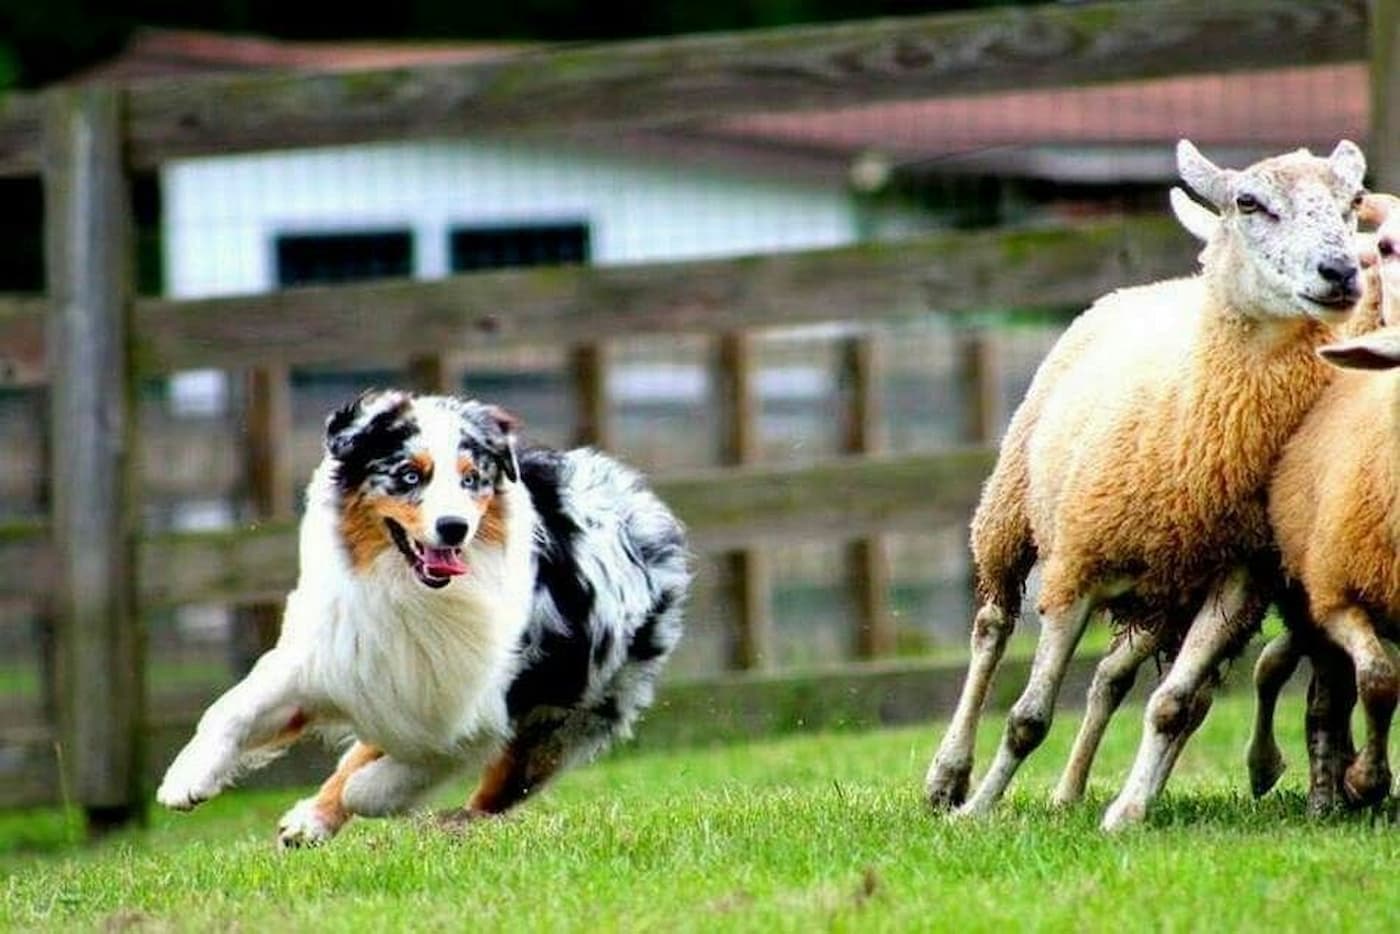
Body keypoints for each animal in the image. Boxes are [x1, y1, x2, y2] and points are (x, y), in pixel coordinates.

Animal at [929, 138, 1366, 834]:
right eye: (1250, 203)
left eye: (1354, 203)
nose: (1341, 271)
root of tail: (1153, 287)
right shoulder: (1075, 567)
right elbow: (1027, 718)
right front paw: (976, 811)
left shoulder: (1237, 579)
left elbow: (1172, 705)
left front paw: (1128, 812)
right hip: (1008, 509)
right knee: (990, 629)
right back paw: (948, 776)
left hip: (1165, 597)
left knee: (1116, 679)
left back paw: (1071, 794)